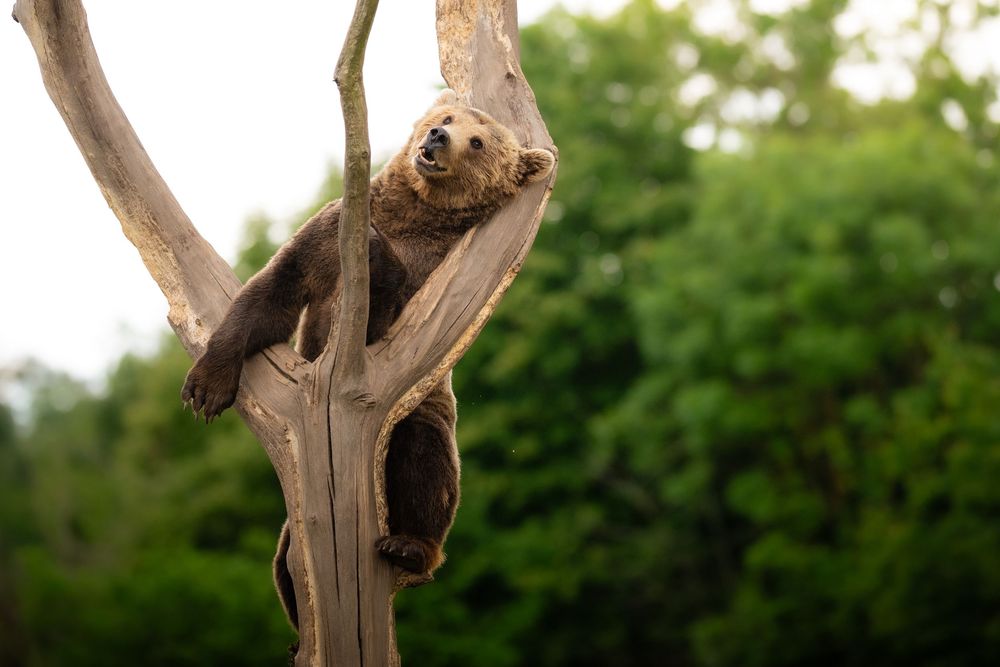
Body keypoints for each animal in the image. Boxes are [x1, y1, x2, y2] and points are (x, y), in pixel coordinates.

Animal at [180, 88, 555, 629]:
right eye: (447, 116)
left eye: (478, 141)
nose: (437, 137)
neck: (411, 213)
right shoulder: (325, 234)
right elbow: (271, 293)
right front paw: (206, 388)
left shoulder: (430, 282)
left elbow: (383, 313)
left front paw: (378, 254)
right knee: (284, 559)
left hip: (420, 411)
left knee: (428, 463)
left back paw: (410, 547)